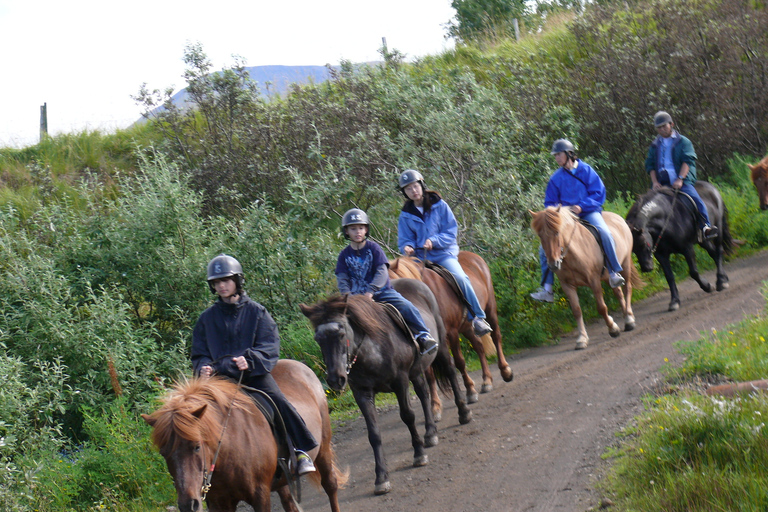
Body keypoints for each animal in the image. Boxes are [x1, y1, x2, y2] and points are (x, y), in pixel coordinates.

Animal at [142, 358, 348, 512]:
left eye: (197, 447)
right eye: (163, 453)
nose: (188, 505)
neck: (228, 449)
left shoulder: (260, 495)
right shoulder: (219, 503)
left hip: (323, 448)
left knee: (330, 484)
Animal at [298, 276, 468, 496]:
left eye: (341, 332)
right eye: (318, 338)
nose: (336, 379)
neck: (371, 350)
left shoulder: (400, 381)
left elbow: (408, 416)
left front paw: (419, 454)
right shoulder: (362, 393)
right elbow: (374, 434)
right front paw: (381, 477)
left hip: (441, 347)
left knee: (450, 372)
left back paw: (464, 412)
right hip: (417, 370)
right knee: (423, 393)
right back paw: (430, 433)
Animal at [392, 252, 512, 404]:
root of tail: (474, 256)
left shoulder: (451, 332)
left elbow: (459, 362)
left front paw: (470, 391)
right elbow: (429, 374)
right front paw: (435, 405)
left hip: (490, 308)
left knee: (496, 336)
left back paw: (505, 371)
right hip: (467, 327)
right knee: (479, 347)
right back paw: (486, 381)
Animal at [532, 206, 640, 350]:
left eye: (556, 232)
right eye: (540, 235)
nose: (553, 264)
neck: (572, 254)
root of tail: (618, 218)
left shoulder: (594, 281)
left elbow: (601, 308)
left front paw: (613, 329)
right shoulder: (567, 285)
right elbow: (576, 311)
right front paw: (582, 338)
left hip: (625, 264)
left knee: (627, 288)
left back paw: (629, 319)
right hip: (608, 276)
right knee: (618, 292)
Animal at [624, 183, 732, 312]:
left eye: (643, 243)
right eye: (633, 250)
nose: (646, 268)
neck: (666, 220)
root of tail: (712, 187)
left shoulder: (687, 248)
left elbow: (693, 272)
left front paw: (707, 286)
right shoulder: (661, 255)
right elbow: (669, 277)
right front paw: (674, 301)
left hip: (718, 228)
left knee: (719, 250)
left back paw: (721, 282)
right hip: (703, 240)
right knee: (713, 253)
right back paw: (724, 278)